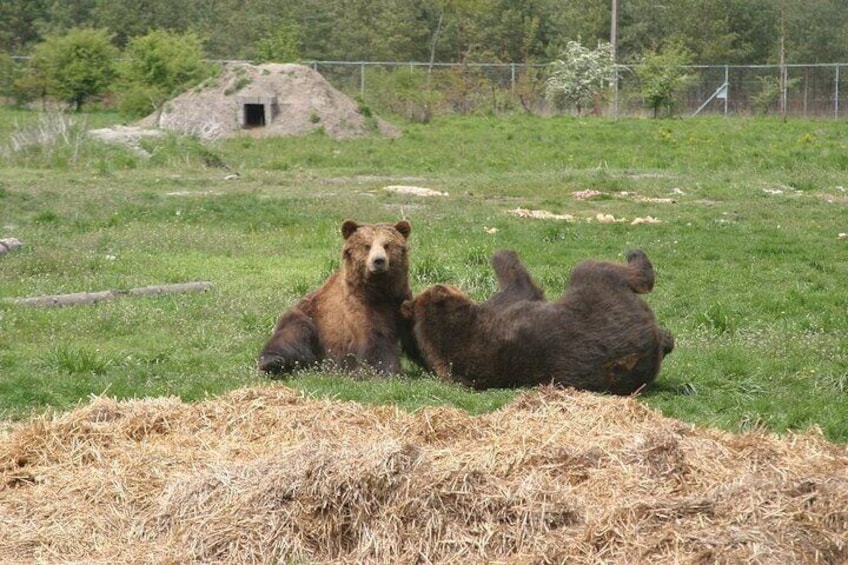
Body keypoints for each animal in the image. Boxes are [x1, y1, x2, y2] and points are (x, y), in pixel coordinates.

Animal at [255, 219, 420, 374]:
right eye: (367, 246)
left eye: (387, 245)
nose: (378, 261)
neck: (380, 290)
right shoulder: (360, 307)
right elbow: (377, 339)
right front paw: (386, 370)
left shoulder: (400, 300)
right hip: (308, 319)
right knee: (291, 336)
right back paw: (273, 362)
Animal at [400, 249, 672, 394]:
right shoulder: (499, 316)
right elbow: (521, 287)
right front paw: (504, 254)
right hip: (603, 301)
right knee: (594, 268)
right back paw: (636, 258)